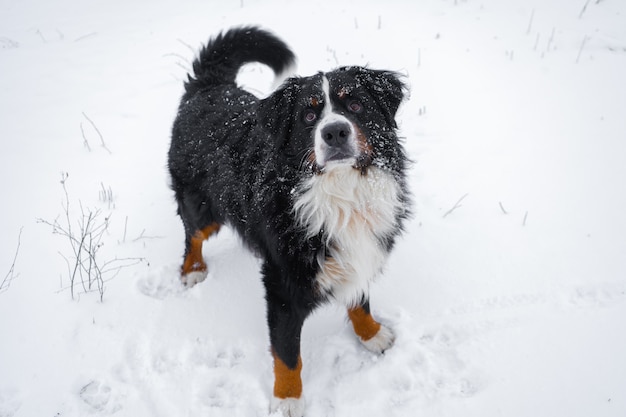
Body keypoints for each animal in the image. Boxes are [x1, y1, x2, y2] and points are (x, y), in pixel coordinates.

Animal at [166, 26, 410, 416]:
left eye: (356, 105)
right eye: (308, 117)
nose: (335, 132)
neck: (341, 194)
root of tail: (210, 86)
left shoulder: (360, 251)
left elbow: (360, 300)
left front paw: (372, 335)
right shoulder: (283, 285)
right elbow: (287, 353)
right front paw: (287, 398)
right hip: (201, 207)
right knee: (193, 234)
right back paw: (193, 270)